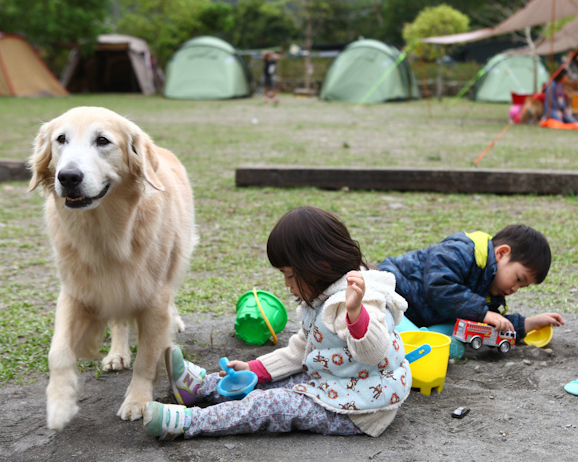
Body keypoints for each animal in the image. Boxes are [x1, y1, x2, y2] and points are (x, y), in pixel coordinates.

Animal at [27, 106, 196, 432]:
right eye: (61, 139)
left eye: (102, 140)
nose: (68, 177)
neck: (103, 232)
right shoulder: (75, 293)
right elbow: (58, 352)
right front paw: (60, 405)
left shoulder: (155, 298)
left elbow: (146, 357)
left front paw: (137, 401)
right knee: (119, 322)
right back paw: (117, 353)